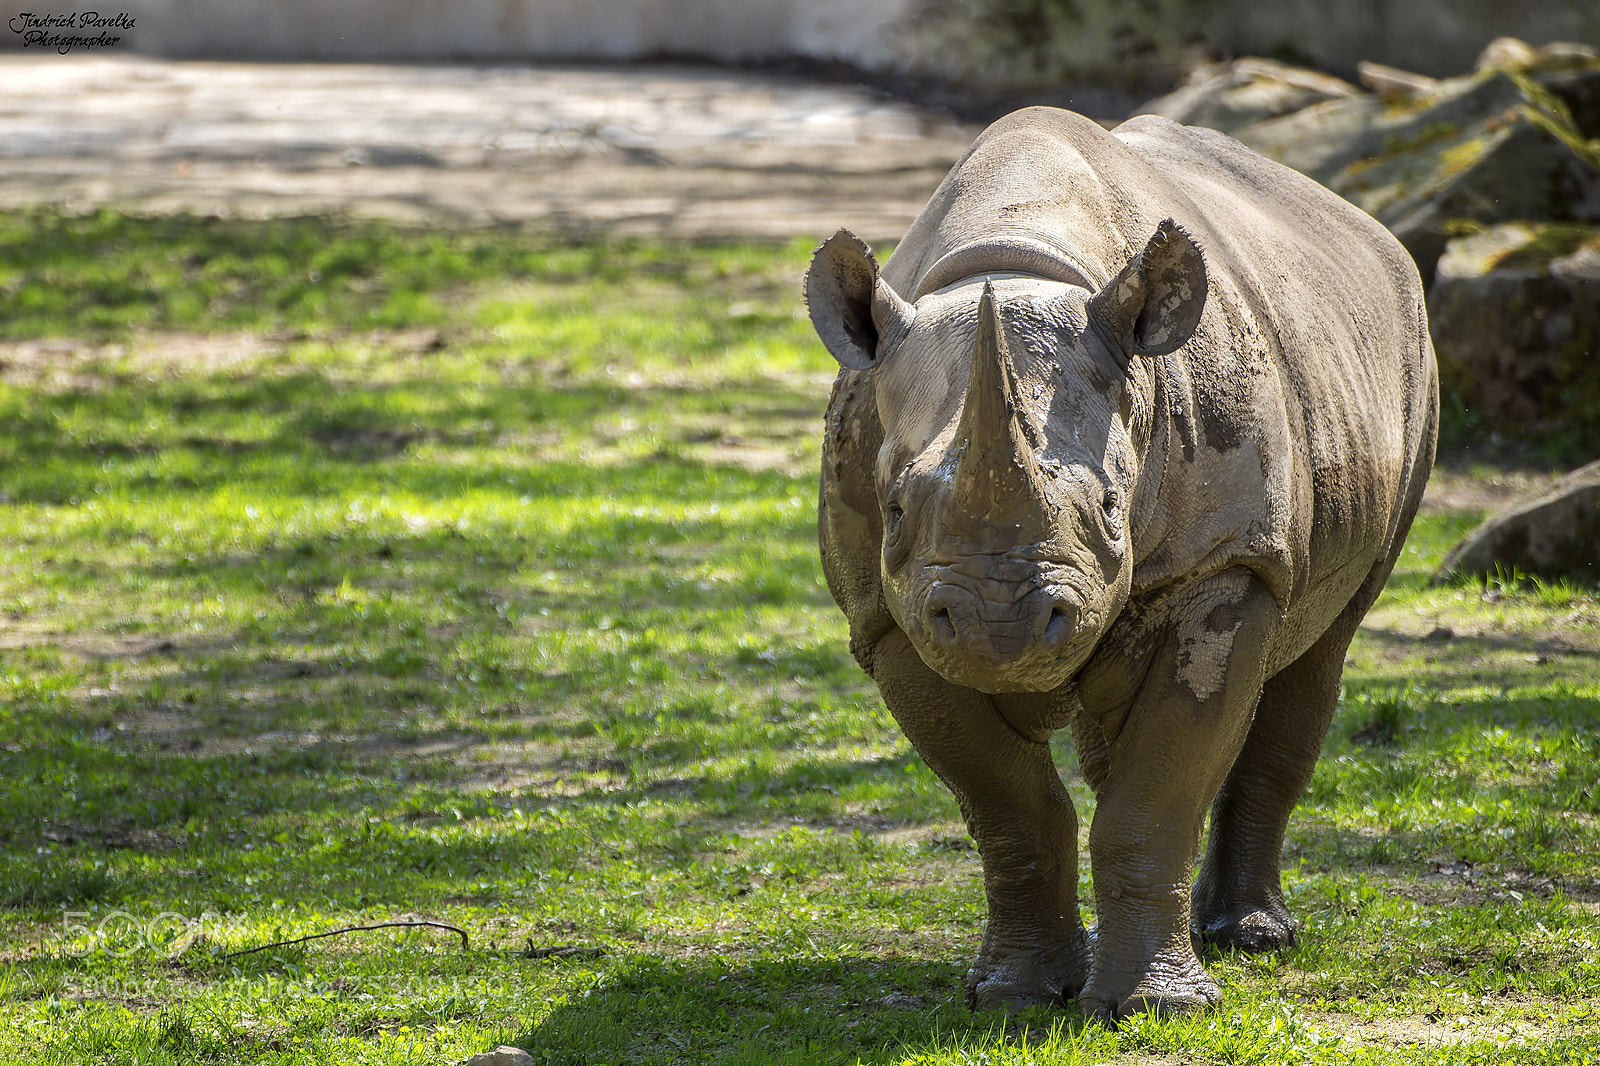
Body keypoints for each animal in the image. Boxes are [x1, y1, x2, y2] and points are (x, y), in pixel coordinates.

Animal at [806, 107, 1437, 1020]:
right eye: (894, 509)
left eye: (1111, 506)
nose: (1001, 626)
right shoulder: (888, 619)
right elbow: (1011, 806)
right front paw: (1016, 996)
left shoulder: (1225, 565)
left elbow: (1158, 795)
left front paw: (1158, 1007)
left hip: (1410, 366)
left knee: (1321, 651)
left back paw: (1253, 936)